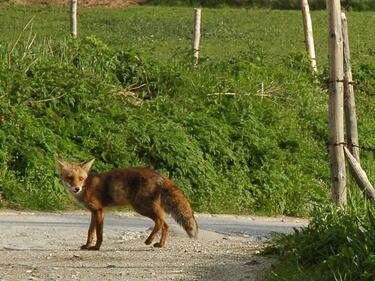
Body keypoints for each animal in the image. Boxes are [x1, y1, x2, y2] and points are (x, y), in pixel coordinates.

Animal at [54, 155, 200, 249]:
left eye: (81, 178)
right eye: (70, 178)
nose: (76, 188)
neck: (87, 186)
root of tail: (160, 175)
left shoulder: (99, 210)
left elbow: (99, 233)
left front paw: (96, 247)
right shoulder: (93, 212)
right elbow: (90, 231)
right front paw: (87, 245)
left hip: (141, 207)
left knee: (160, 222)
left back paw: (149, 240)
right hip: (147, 207)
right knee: (166, 225)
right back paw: (160, 244)